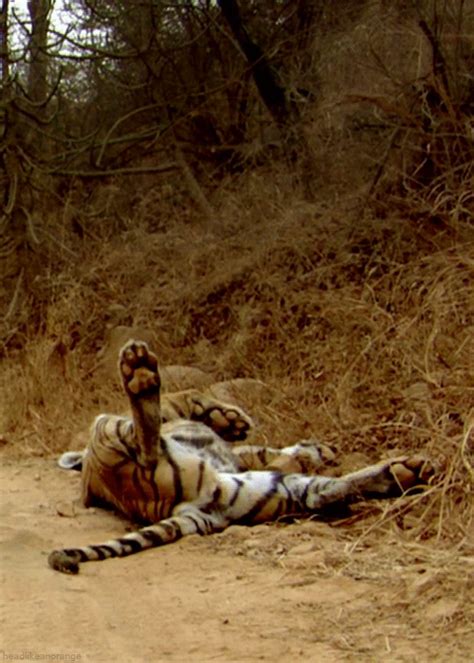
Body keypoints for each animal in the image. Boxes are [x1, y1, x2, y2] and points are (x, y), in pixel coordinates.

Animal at [49, 340, 434, 572]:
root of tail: (178, 507)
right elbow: (192, 398)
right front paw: (233, 420)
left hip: (261, 491)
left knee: (322, 492)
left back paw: (406, 472)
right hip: (110, 429)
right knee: (145, 435)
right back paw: (139, 371)